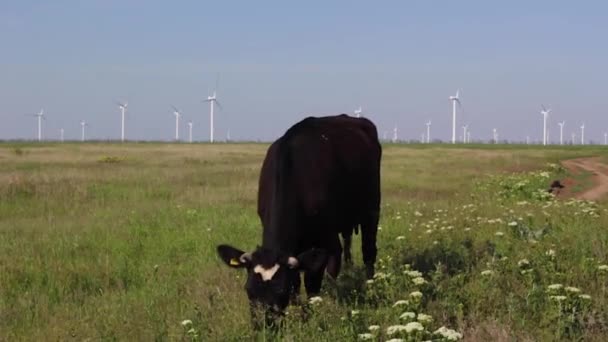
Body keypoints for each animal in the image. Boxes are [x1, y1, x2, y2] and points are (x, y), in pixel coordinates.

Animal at [217, 114, 380, 326]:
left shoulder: (322, 238)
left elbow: (312, 281)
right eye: (248, 290)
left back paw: (370, 286)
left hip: (371, 210)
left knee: (368, 252)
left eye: (280, 290)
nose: (262, 326)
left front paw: (308, 316)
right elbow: (298, 280)